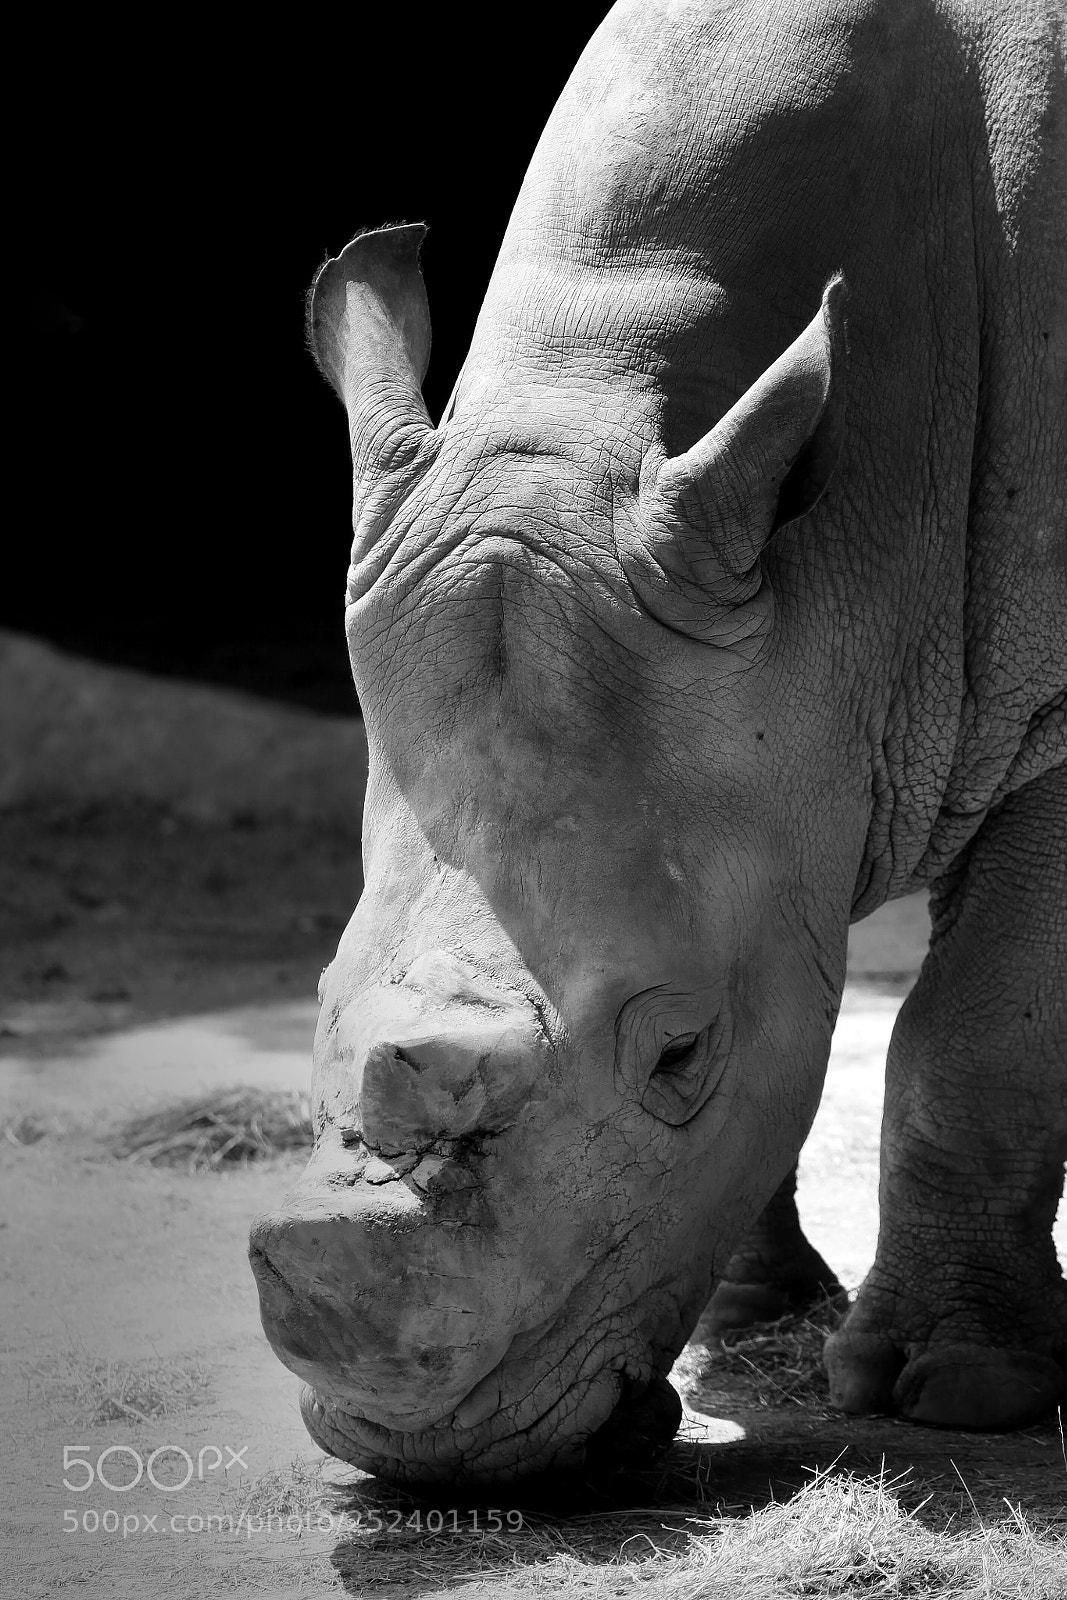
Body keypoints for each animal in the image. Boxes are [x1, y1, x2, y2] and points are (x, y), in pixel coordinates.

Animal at [250, 0, 1066, 1482]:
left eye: (680, 1053)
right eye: (318, 1001)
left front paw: (955, 1390)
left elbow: (971, 1030)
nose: (421, 1456)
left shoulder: (1041, 722)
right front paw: (747, 1314)